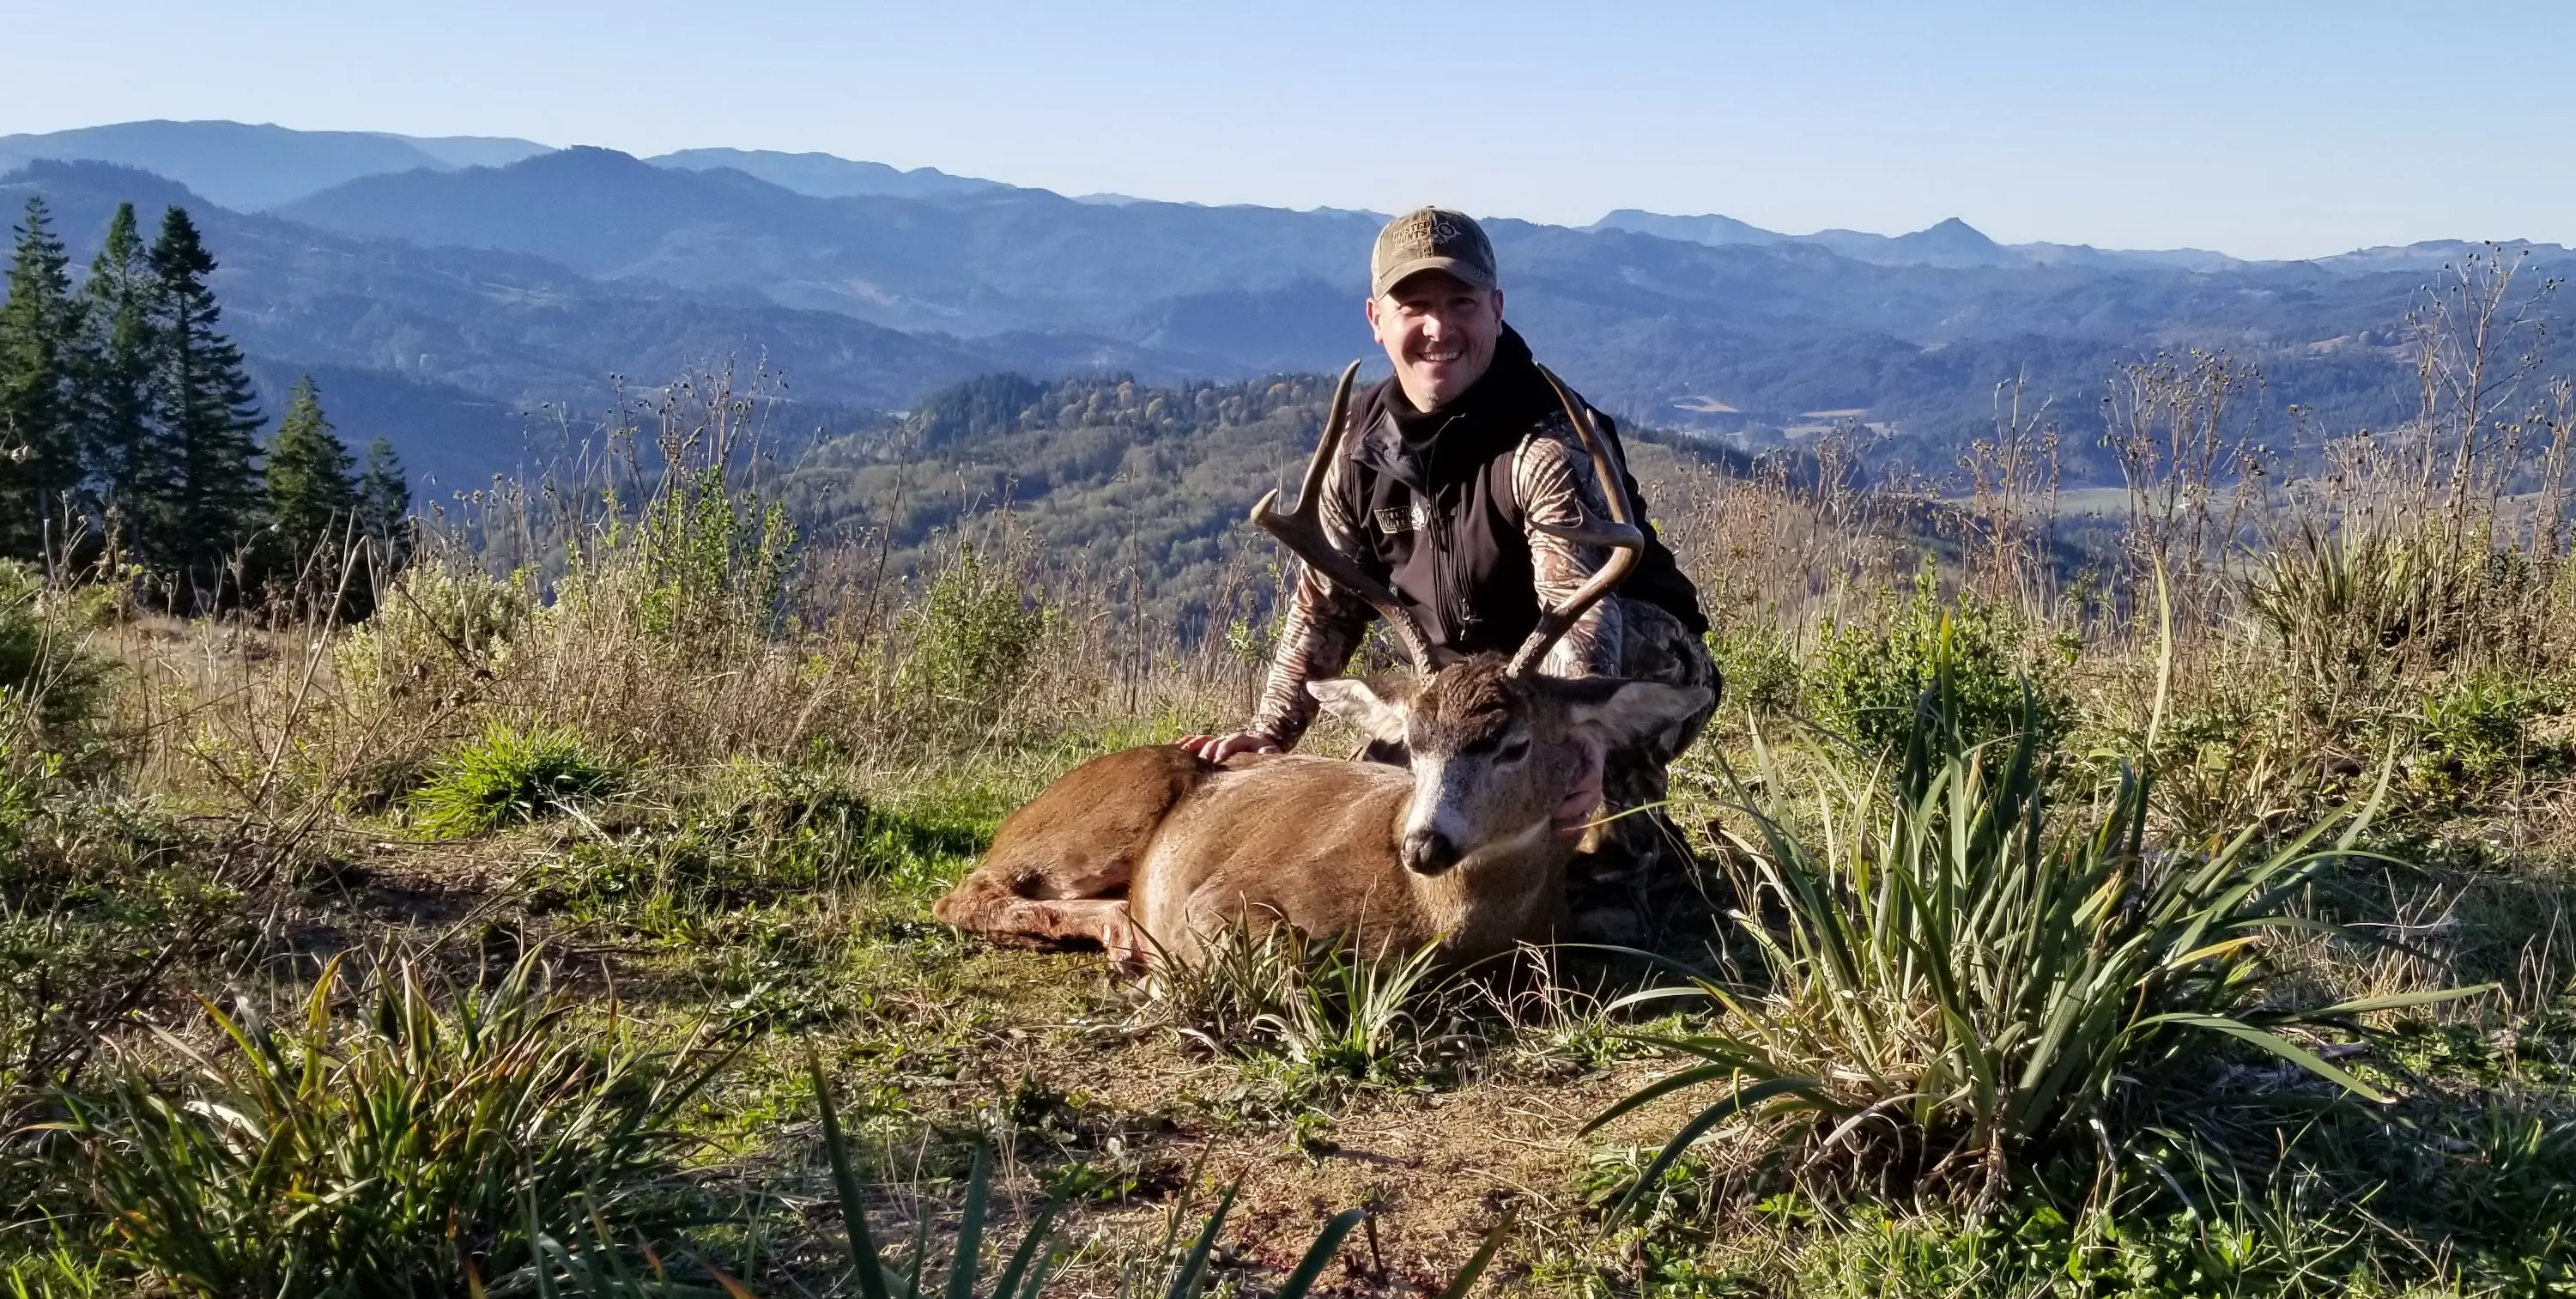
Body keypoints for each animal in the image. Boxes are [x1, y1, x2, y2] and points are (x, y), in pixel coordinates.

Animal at [931, 361, 1710, 970]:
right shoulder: (1221, 894)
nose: (1422, 843)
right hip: (1100, 819)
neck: (1438, 922)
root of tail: (1026, 810)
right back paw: (1121, 929)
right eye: (1411, 744)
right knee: (968, 892)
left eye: (1513, 742)